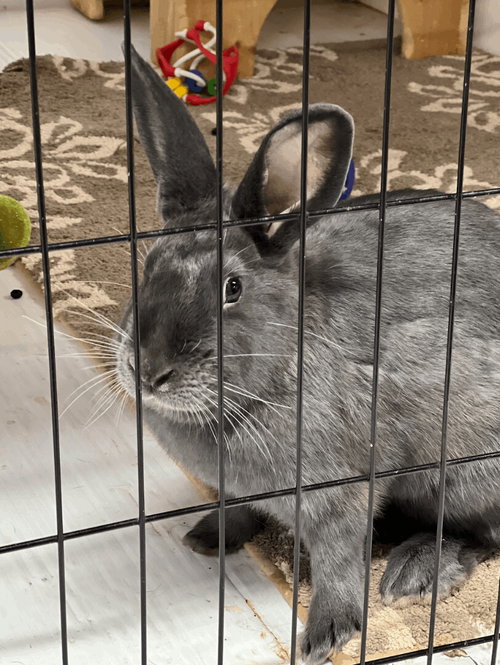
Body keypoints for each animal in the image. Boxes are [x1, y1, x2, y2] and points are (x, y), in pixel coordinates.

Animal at [115, 46, 500, 665]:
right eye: (147, 268)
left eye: (233, 288)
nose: (149, 371)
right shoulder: (237, 487)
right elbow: (235, 509)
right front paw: (206, 540)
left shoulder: (339, 492)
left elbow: (338, 564)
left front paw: (325, 637)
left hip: (467, 472)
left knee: (483, 536)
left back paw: (413, 573)